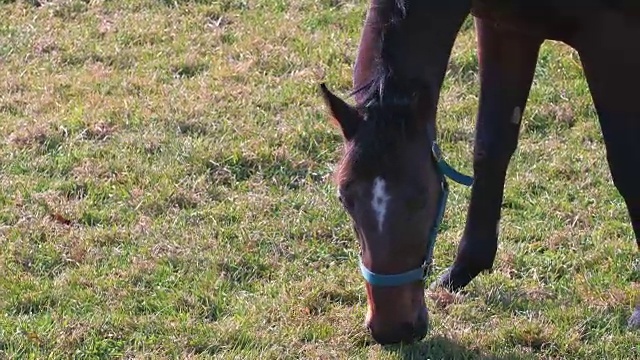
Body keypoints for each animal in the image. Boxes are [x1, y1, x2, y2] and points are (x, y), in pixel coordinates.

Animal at [320, 0, 640, 346]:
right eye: (344, 198)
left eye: (421, 197)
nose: (392, 330)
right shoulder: (505, 30)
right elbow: (491, 147)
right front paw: (464, 268)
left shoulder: (612, 39)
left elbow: (627, 168)